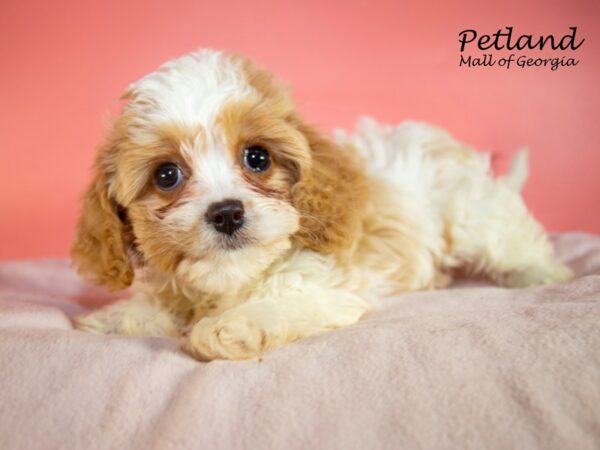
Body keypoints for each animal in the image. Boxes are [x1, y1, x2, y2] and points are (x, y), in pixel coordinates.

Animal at [71, 49, 572, 360]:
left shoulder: (325, 287)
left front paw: (231, 327)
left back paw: (544, 275)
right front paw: (116, 318)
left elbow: (282, 302)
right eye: (166, 175)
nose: (227, 212)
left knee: (514, 244)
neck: (230, 282)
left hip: (476, 217)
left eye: (258, 158)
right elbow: (155, 304)